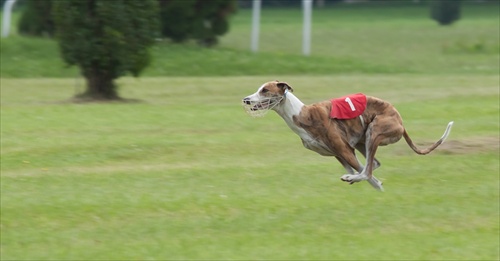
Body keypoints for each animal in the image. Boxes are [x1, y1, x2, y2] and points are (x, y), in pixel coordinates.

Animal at [242, 80, 454, 190]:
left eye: (265, 90)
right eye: (259, 89)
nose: (245, 99)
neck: (300, 114)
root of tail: (400, 121)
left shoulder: (344, 149)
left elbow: (366, 175)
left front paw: (371, 184)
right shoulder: (338, 153)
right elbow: (358, 169)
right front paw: (357, 178)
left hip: (374, 131)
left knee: (368, 170)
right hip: (363, 140)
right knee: (373, 163)